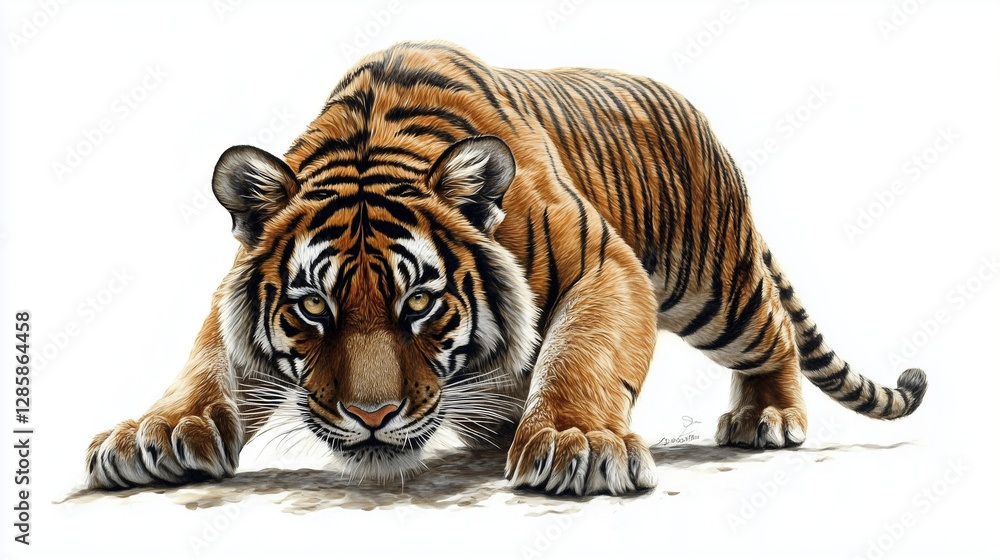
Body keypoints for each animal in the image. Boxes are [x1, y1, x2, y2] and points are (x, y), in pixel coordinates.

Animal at [85, 41, 927, 496]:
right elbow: (209, 359)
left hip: (715, 288)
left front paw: (576, 446)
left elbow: (583, 352)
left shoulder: (606, 260)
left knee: (774, 329)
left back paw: (768, 417)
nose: (370, 416)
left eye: (419, 304)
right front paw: (155, 435)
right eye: (313, 308)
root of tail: (689, 108)